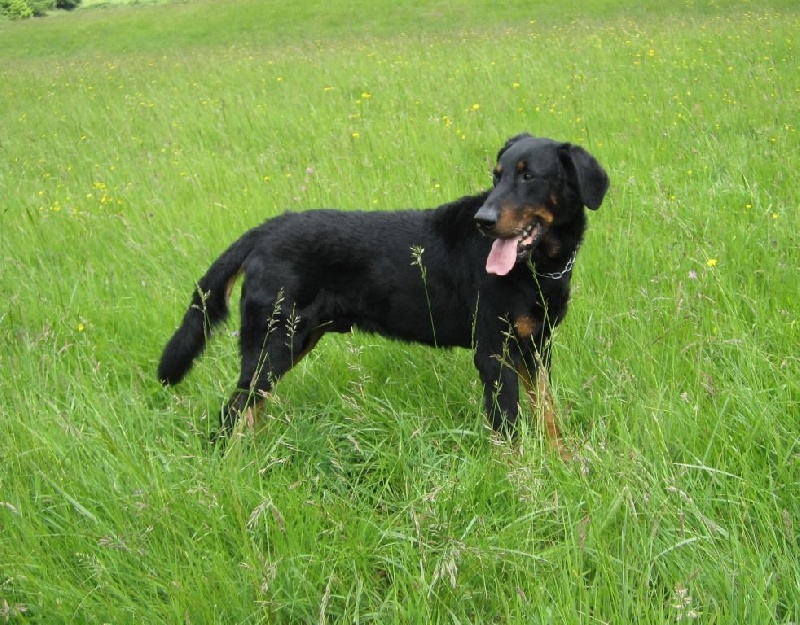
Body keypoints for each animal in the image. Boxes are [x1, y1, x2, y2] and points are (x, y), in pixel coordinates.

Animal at [156, 133, 608, 454]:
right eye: (497, 176)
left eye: (529, 176)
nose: (484, 220)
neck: (538, 267)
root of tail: (264, 230)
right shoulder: (493, 353)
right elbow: (509, 427)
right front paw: (521, 478)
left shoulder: (537, 347)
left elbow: (548, 413)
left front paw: (561, 460)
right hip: (274, 343)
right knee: (233, 412)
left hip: (290, 342)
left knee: (249, 410)